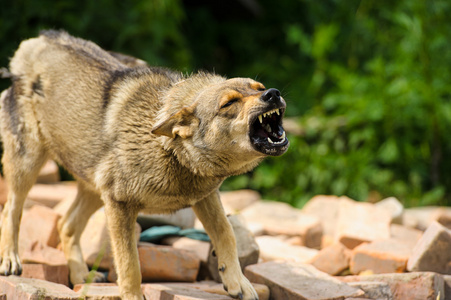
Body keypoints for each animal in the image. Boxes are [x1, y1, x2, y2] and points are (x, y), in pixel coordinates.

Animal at [0, 31, 290, 300]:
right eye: (229, 103)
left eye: (259, 87)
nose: (273, 94)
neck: (171, 151)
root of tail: (38, 40)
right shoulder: (120, 205)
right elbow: (130, 264)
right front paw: (132, 295)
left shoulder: (205, 197)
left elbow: (226, 233)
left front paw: (238, 283)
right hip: (29, 163)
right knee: (12, 209)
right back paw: (11, 259)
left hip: (94, 185)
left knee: (66, 225)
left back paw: (82, 275)